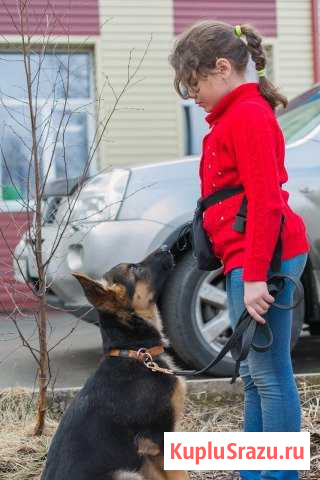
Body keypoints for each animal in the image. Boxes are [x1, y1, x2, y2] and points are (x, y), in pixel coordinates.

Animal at [41, 246, 189, 478]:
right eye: (135, 268)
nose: (166, 247)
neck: (135, 352)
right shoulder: (160, 441)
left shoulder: (147, 456)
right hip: (126, 473)